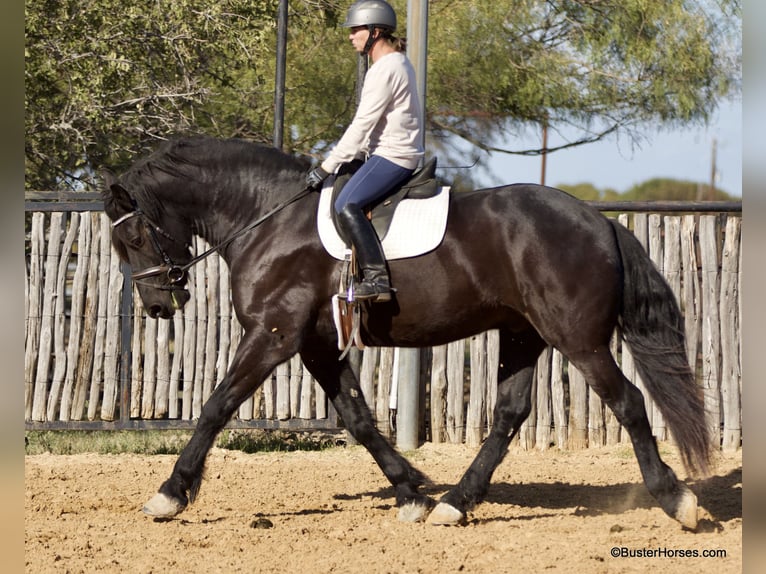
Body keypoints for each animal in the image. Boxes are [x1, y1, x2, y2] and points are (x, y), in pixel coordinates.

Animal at [102, 136, 712, 532]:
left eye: (133, 237)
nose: (157, 304)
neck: (268, 218)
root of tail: (600, 221)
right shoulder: (317, 344)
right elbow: (358, 418)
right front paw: (409, 490)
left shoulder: (273, 336)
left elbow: (216, 407)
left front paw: (170, 494)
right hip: (523, 334)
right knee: (509, 414)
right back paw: (455, 503)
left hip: (577, 340)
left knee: (628, 402)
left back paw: (676, 500)